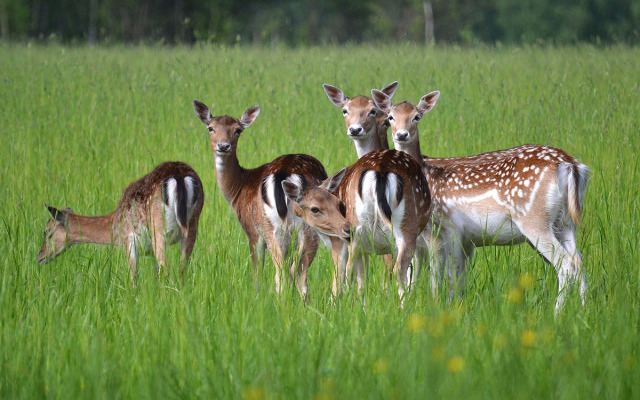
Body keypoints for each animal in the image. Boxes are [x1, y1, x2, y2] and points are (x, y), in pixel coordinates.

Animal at [37, 159, 205, 284]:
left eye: (46, 231)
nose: (40, 256)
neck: (115, 227)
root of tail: (178, 175)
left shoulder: (128, 241)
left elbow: (133, 280)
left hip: (158, 229)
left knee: (166, 270)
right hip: (192, 226)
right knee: (182, 270)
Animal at [191, 100, 350, 300]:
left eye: (237, 130)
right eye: (210, 128)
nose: (223, 145)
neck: (238, 190)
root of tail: (284, 174)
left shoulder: (252, 231)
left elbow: (257, 271)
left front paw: (256, 296)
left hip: (292, 227)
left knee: (290, 273)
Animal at [372, 89, 592, 310]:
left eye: (416, 117)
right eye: (391, 117)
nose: (401, 134)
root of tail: (570, 165)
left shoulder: (447, 229)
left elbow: (446, 276)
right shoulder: (462, 238)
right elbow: (451, 277)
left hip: (534, 219)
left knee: (566, 263)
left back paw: (557, 312)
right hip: (565, 222)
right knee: (579, 259)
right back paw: (583, 309)